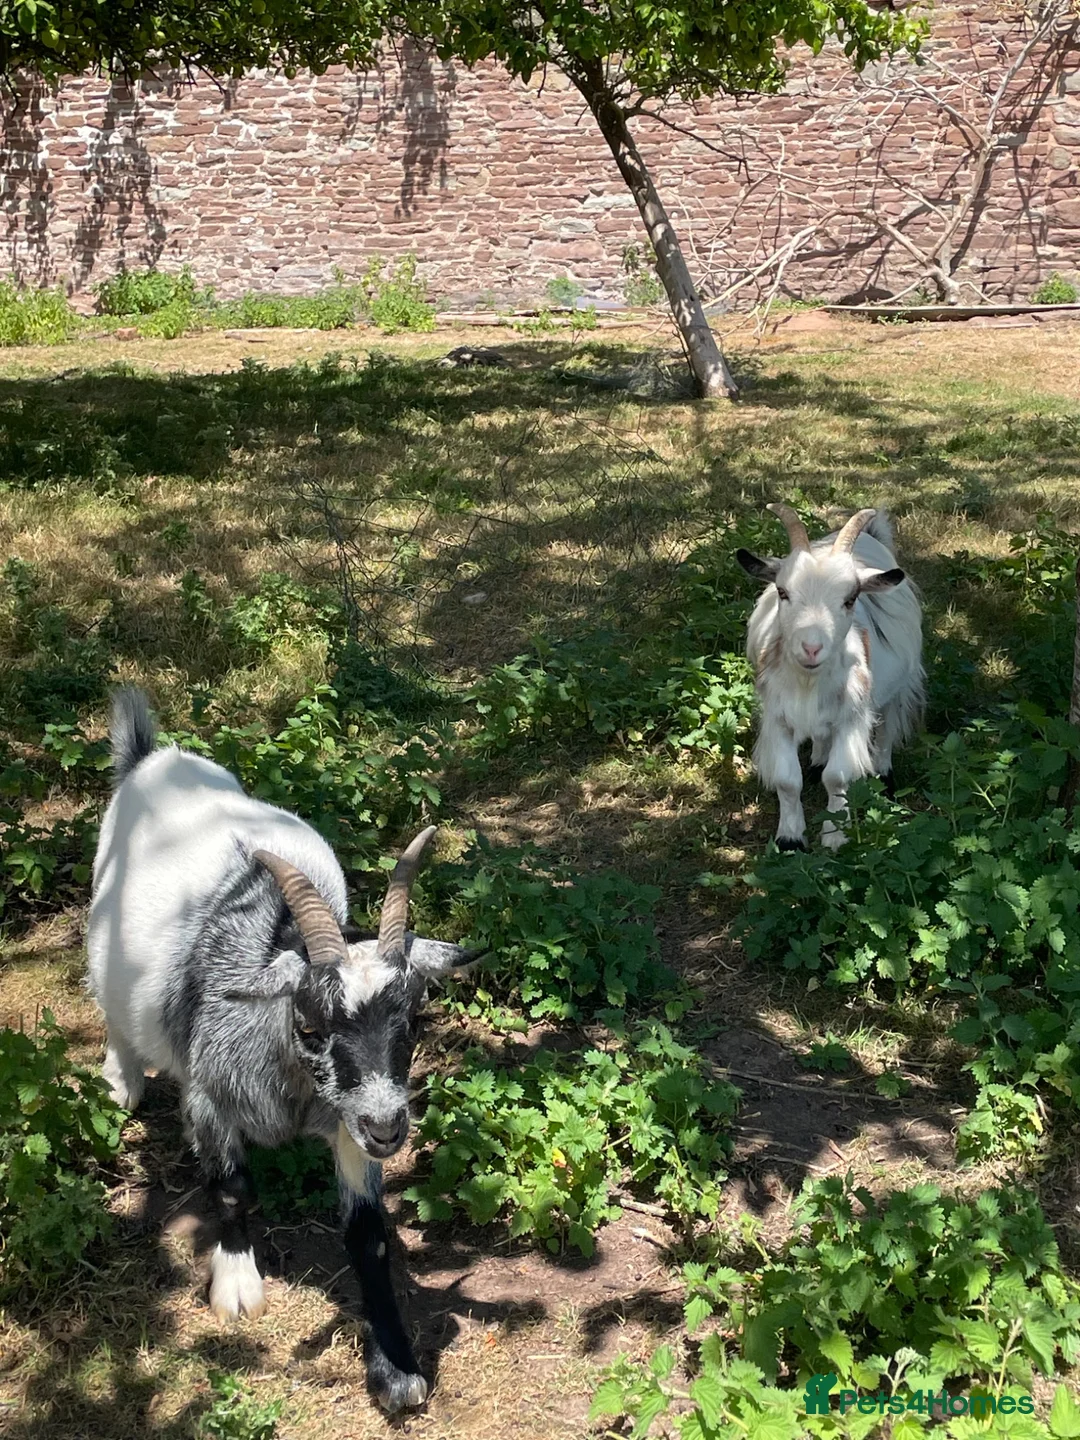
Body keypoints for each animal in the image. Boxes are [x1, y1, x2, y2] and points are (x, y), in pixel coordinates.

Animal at [87, 688, 474, 1412]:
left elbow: (368, 1236)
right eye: (310, 1026)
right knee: (116, 1013)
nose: (390, 1128)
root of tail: (153, 756)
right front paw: (237, 1285)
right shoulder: (211, 1095)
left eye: (411, 1021)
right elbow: (233, 1188)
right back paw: (120, 1082)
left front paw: (396, 1368)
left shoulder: (348, 1120)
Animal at [736, 504, 924, 850]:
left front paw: (836, 835)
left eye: (850, 599)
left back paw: (884, 780)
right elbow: (788, 780)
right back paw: (817, 761)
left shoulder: (851, 717)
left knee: (887, 732)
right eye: (782, 592)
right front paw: (790, 839)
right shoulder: (778, 717)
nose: (811, 648)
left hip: (899, 686)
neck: (808, 684)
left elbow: (837, 777)